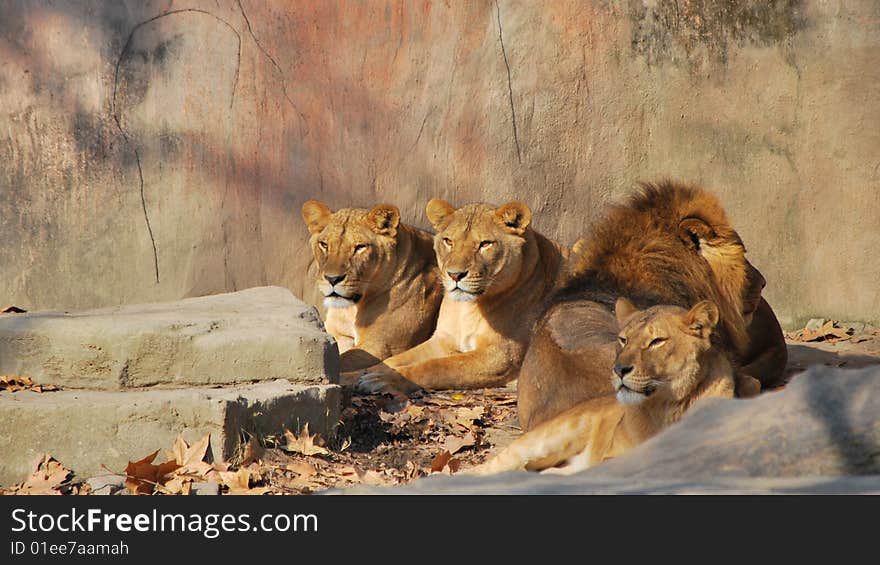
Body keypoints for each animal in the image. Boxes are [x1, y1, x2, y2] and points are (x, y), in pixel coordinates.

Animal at [302, 200, 444, 372]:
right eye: (324, 245)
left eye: (360, 247)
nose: (332, 279)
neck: (351, 309)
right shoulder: (338, 335)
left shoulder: (380, 347)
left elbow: (341, 362)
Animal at [348, 200, 568, 394]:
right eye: (448, 241)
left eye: (485, 244)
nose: (455, 275)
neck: (467, 308)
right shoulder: (443, 341)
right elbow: (390, 361)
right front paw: (355, 375)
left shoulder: (500, 356)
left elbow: (437, 367)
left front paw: (385, 380)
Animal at [468, 298, 744, 474]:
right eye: (623, 340)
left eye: (656, 341)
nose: (619, 369)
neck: (669, 407)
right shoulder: (613, 456)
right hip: (550, 437)